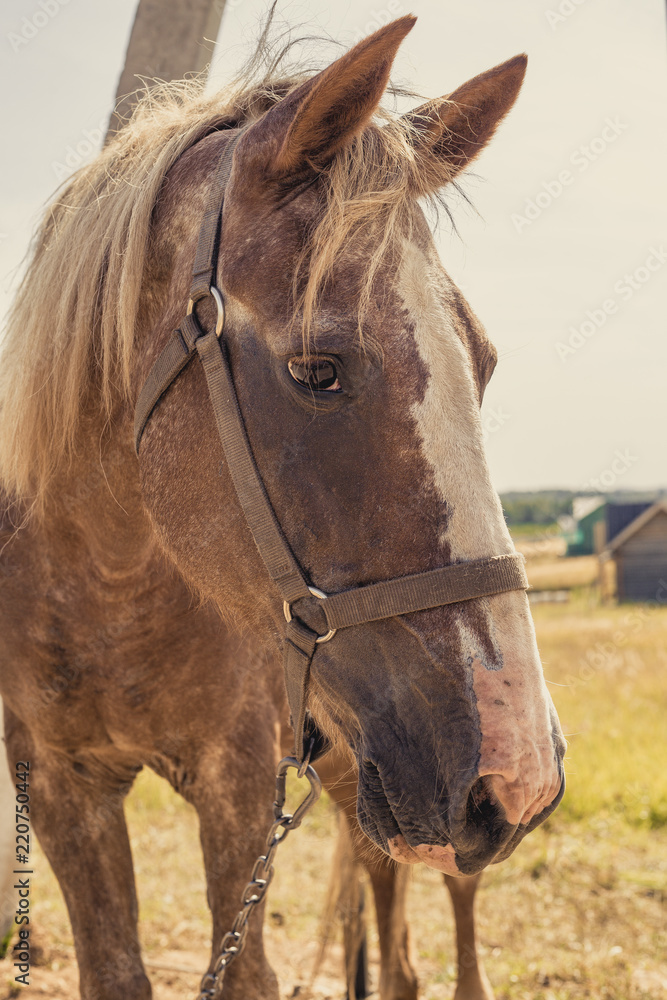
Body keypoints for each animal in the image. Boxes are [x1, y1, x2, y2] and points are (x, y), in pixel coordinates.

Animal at [0, 16, 565, 1000]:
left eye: (485, 364)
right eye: (316, 370)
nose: (519, 769)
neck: (104, 582)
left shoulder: (234, 782)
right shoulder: (63, 786)